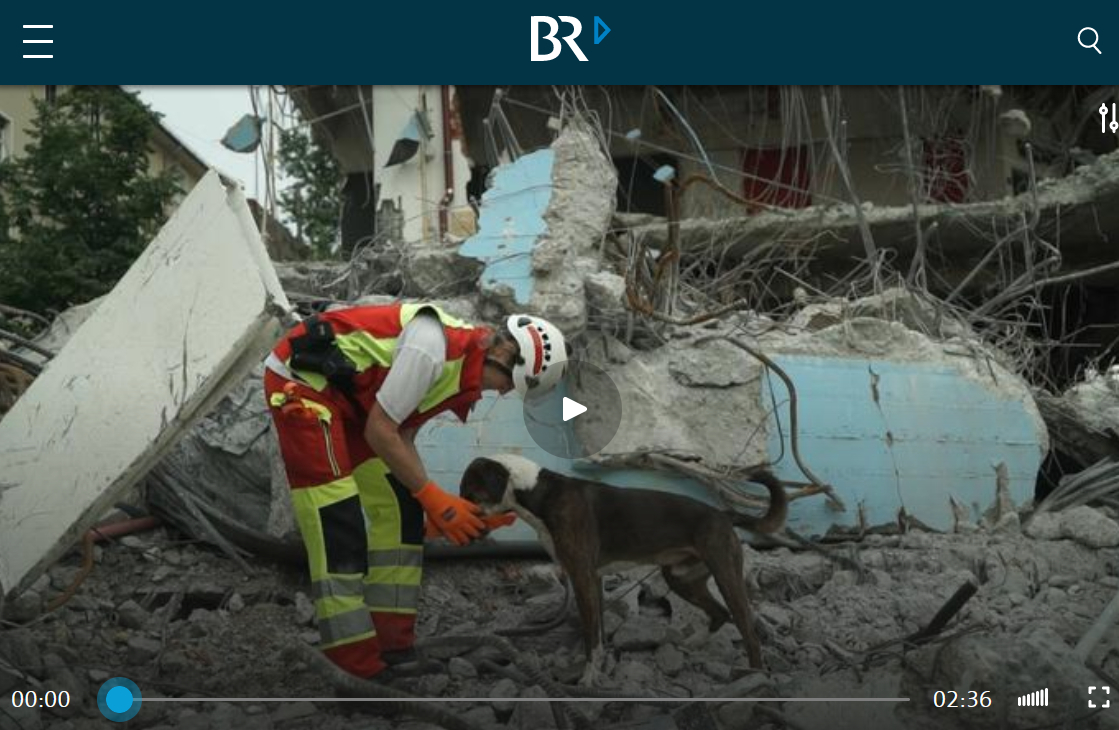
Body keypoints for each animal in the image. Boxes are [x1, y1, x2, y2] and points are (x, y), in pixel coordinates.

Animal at [458, 452, 792, 680]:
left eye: (469, 494)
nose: (462, 531)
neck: (538, 493)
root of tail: (724, 514)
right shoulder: (593, 579)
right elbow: (598, 633)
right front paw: (600, 670)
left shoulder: (581, 575)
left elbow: (591, 634)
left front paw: (588, 678)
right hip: (681, 578)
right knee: (719, 613)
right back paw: (695, 643)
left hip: (725, 575)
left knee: (747, 627)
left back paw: (755, 676)